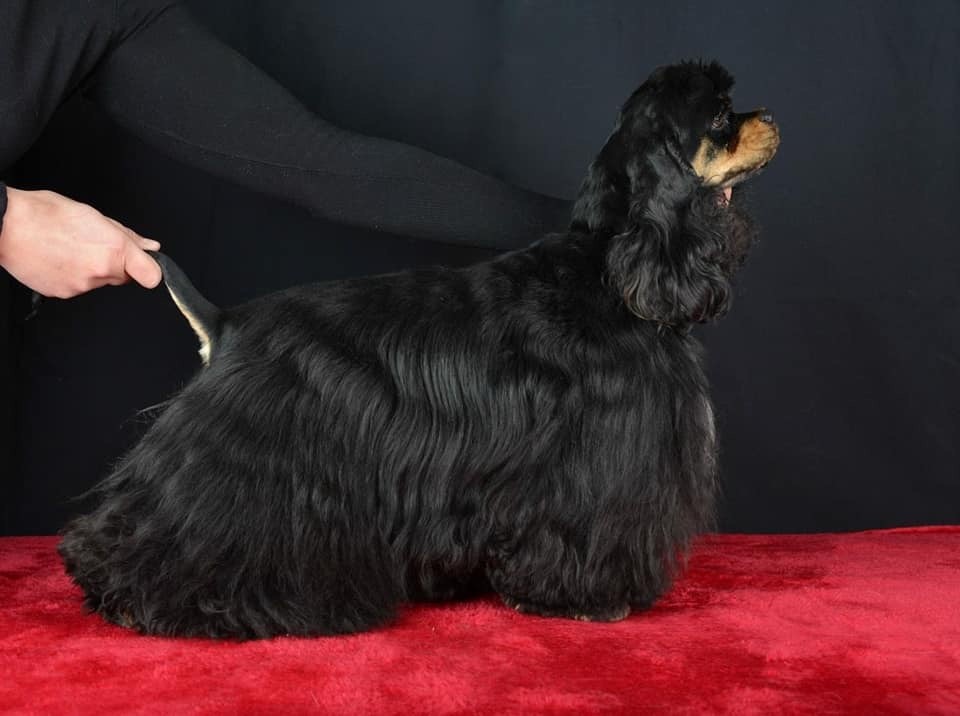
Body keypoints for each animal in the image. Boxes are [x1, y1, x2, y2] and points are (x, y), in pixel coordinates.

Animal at [59, 60, 779, 639]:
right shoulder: (596, 457)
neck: (611, 261)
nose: (770, 116)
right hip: (244, 463)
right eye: (721, 114)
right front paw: (589, 601)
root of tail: (228, 321)